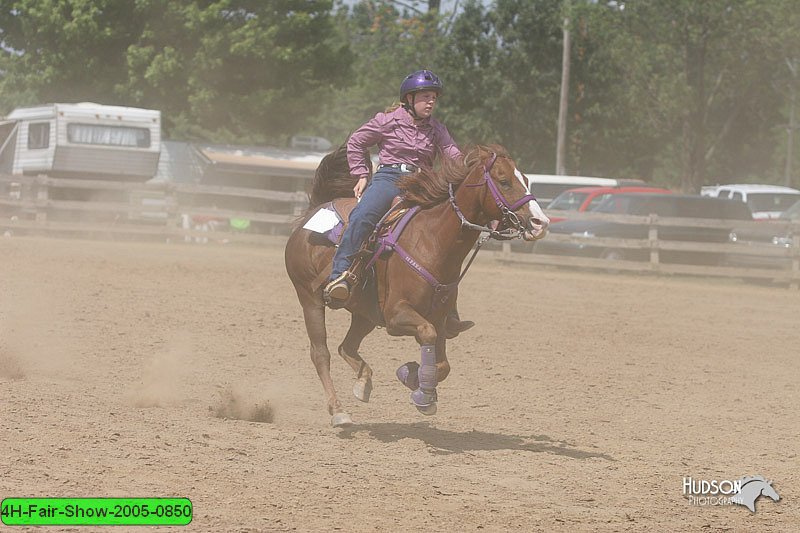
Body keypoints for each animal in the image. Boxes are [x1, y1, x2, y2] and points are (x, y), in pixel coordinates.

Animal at [282, 143, 552, 426]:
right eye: (504, 181)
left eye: (526, 180)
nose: (540, 223)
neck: (431, 241)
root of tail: (312, 212)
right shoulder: (397, 316)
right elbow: (427, 334)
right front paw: (421, 391)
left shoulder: (438, 319)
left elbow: (443, 364)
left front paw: (412, 376)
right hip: (309, 299)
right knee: (320, 353)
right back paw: (338, 411)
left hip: (364, 314)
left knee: (346, 346)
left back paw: (363, 384)